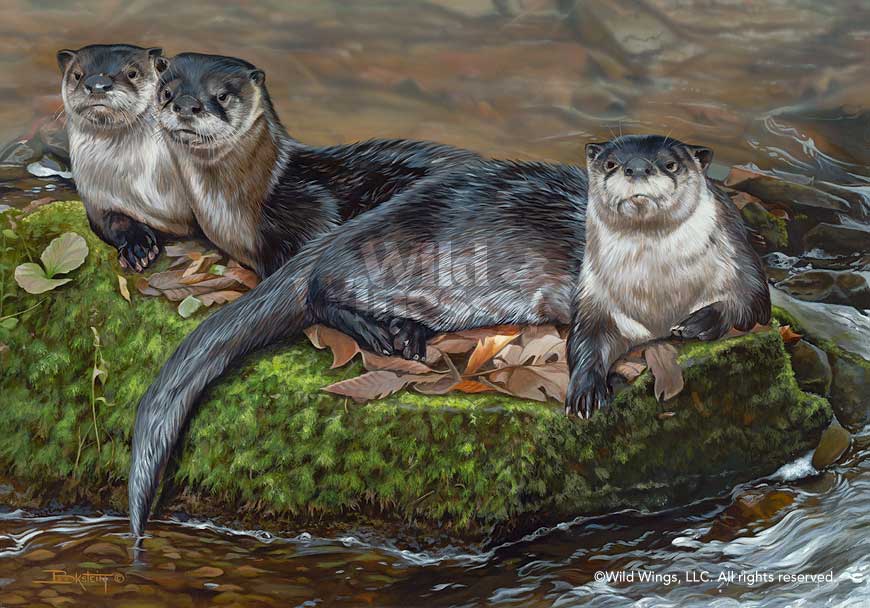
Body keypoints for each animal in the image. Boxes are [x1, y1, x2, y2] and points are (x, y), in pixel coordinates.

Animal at [58, 44, 193, 272]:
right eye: (77, 75)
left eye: (132, 73)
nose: (97, 84)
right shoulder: (96, 197)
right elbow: (113, 221)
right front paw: (137, 247)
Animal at [128, 135, 770, 538]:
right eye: (610, 165)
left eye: (671, 163)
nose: (635, 172)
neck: (658, 291)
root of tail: (350, 228)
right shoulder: (594, 299)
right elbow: (588, 343)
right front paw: (588, 389)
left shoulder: (742, 266)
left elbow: (751, 308)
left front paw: (699, 322)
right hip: (382, 256)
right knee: (319, 290)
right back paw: (385, 332)